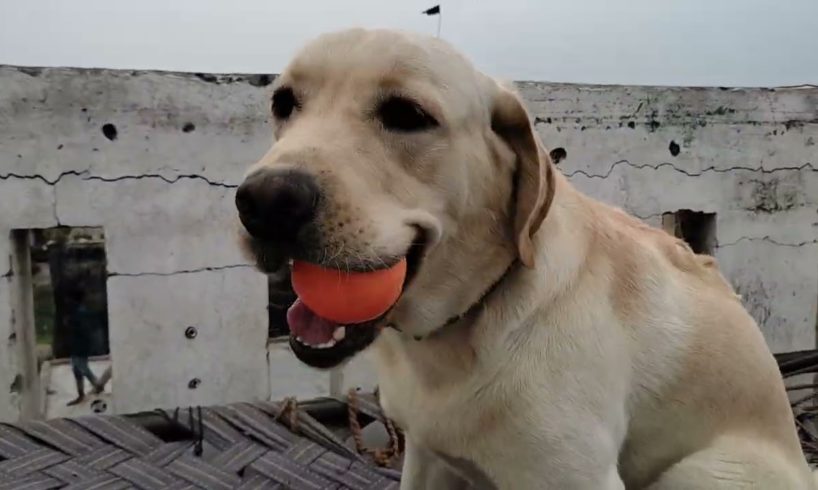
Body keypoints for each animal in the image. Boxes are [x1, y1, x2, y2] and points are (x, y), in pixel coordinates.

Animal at [234, 28, 808, 488]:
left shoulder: (576, 478)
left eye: (407, 115)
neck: (465, 328)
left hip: (700, 471)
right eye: (284, 103)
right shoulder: (426, 456)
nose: (263, 202)